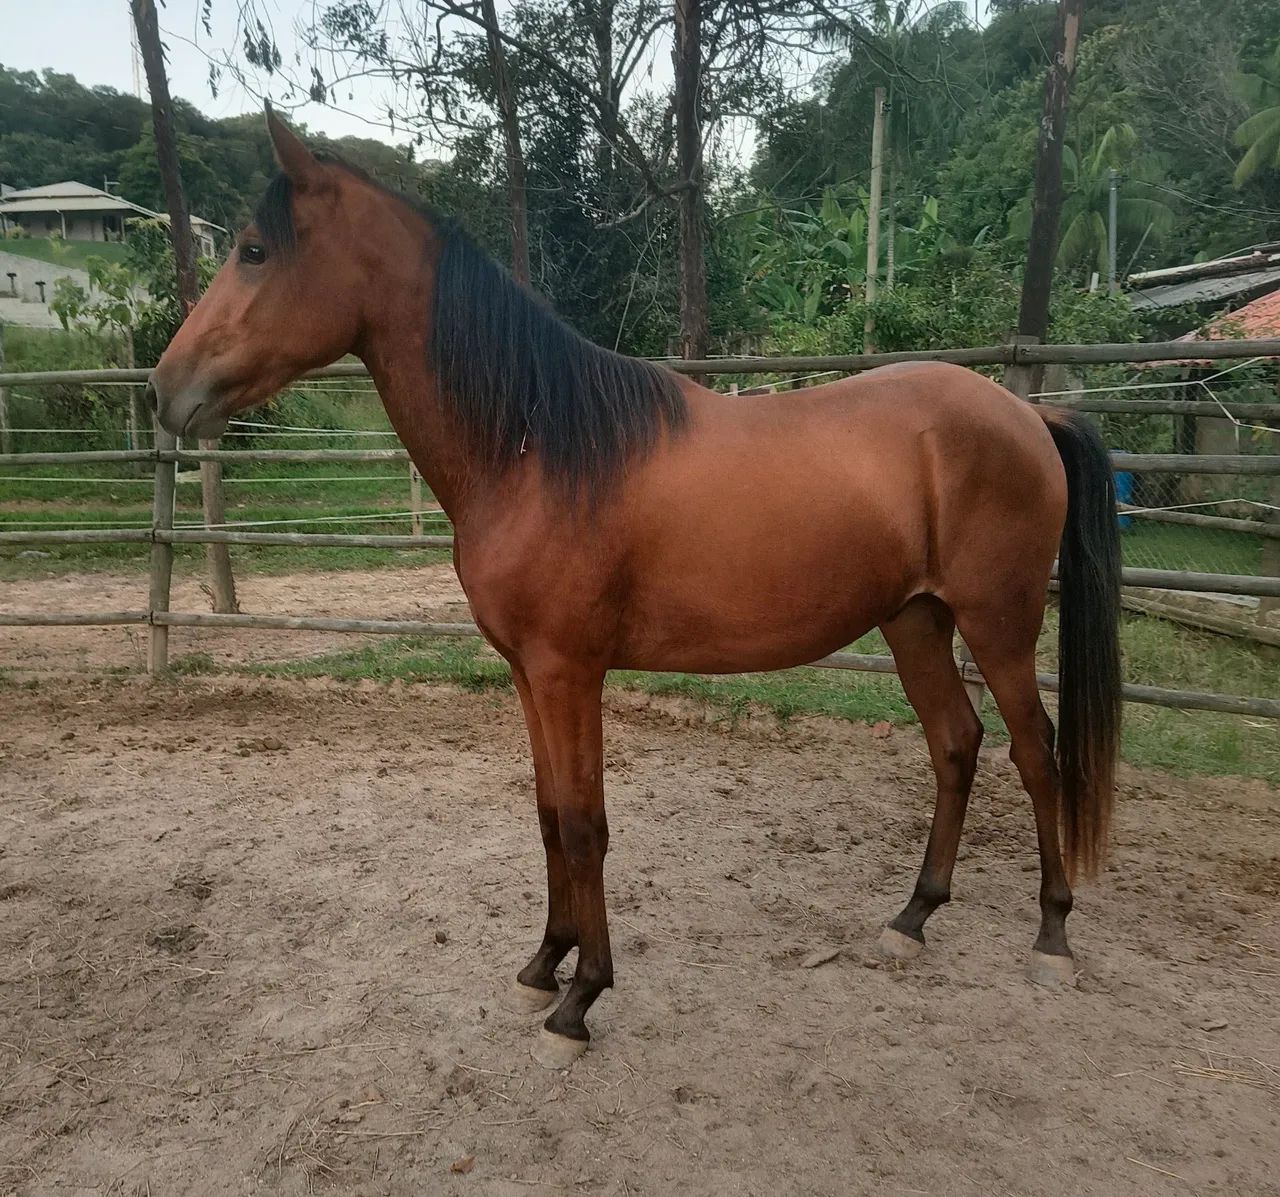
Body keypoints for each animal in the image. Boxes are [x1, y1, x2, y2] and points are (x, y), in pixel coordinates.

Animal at [148, 111, 1122, 1069]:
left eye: (253, 250)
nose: (164, 388)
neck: (535, 445)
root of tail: (1027, 413)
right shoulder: (528, 673)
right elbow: (549, 814)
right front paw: (542, 962)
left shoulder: (569, 672)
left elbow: (586, 824)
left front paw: (581, 998)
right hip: (915, 620)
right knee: (956, 744)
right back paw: (914, 916)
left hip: (998, 624)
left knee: (1033, 752)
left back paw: (1052, 936)